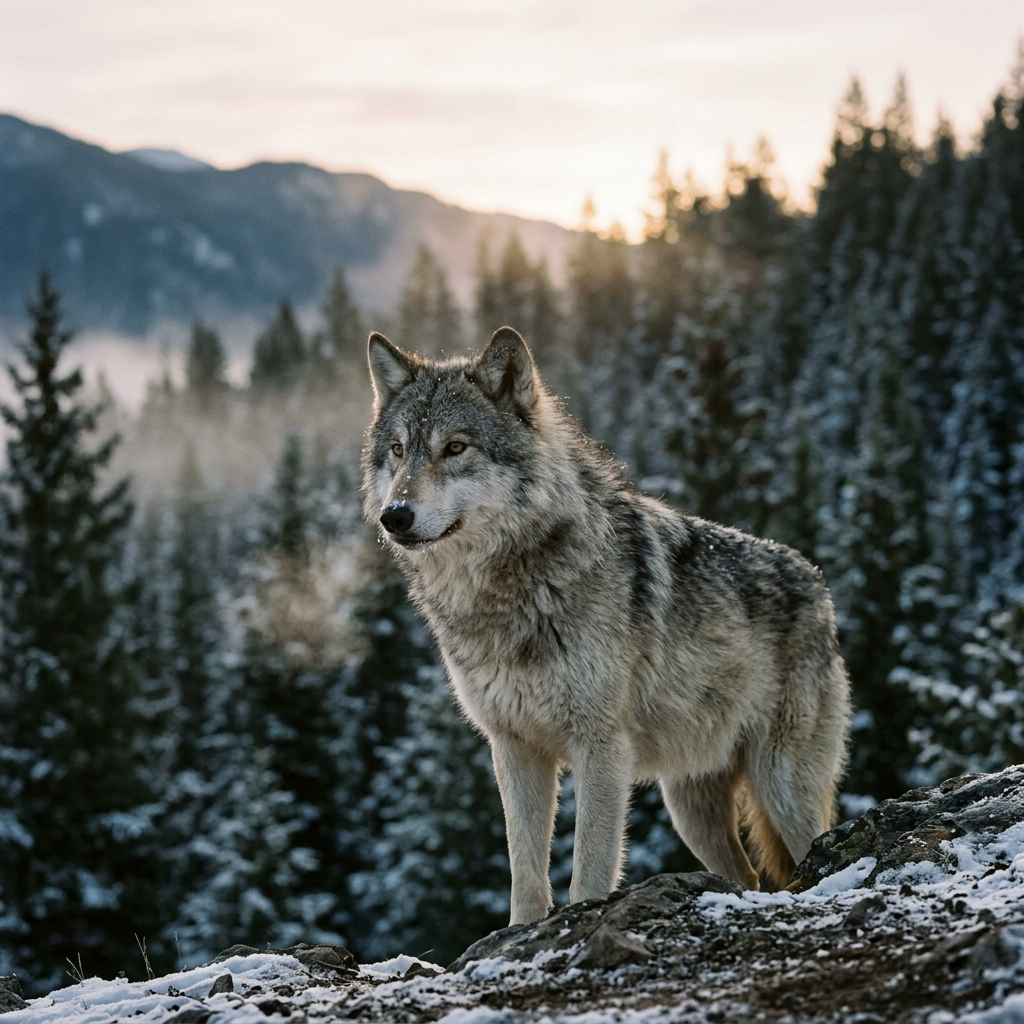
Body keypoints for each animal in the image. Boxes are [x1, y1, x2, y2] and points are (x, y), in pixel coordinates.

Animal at [362, 326, 850, 926]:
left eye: (455, 447)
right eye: (398, 451)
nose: (395, 516)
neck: (511, 591)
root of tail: (817, 582)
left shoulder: (601, 747)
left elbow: (590, 867)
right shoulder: (514, 746)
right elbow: (525, 870)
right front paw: (522, 931)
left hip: (780, 784)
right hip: (690, 806)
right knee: (748, 876)